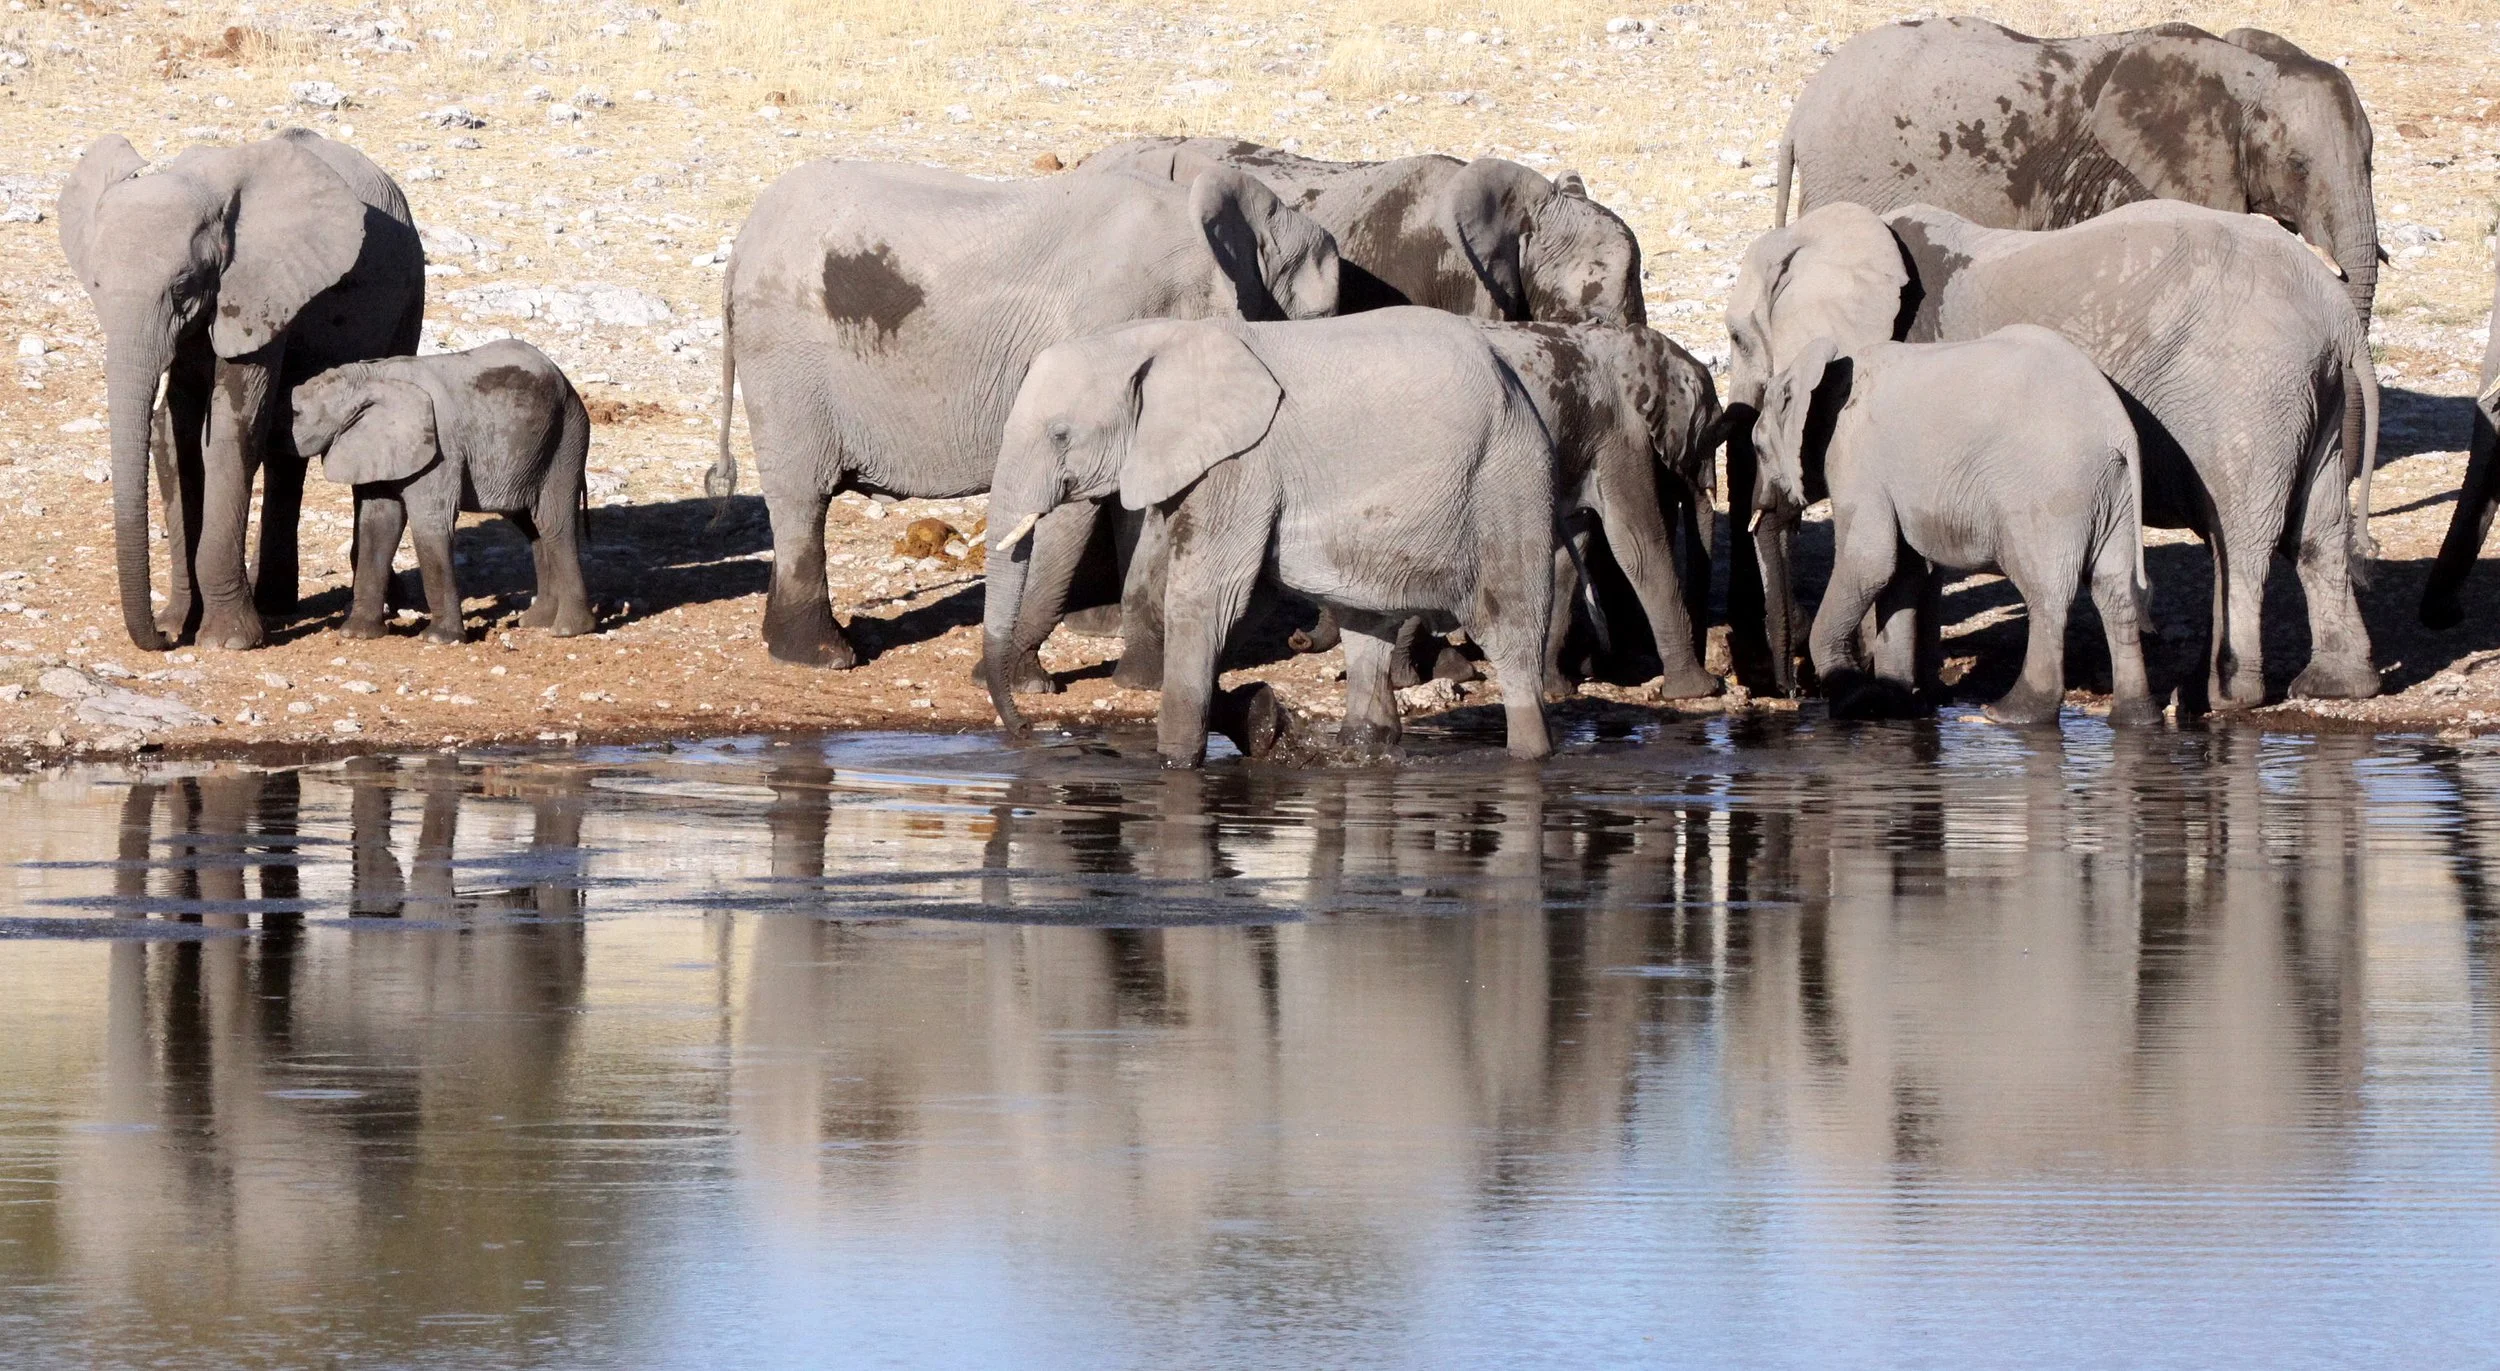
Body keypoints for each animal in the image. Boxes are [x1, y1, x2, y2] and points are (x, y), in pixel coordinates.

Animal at [57, 128, 426, 652]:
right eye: (95, 285)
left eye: (182, 288)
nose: (159, 638)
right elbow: (175, 441)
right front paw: (180, 622)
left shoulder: (257, 293)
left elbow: (229, 435)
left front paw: (226, 641)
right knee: (285, 447)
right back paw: (274, 602)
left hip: (411, 292)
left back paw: (383, 603)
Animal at [289, 340, 593, 644]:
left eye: (295, 414)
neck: (369, 376)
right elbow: (378, 525)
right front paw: (357, 634)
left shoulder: (440, 449)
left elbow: (431, 523)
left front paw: (439, 639)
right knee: (530, 524)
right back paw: (536, 621)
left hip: (565, 439)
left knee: (553, 522)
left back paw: (568, 630)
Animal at [706, 160, 1341, 672]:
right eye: (1317, 319)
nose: (1299, 642)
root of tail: (740, 247)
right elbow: (1083, 509)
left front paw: (1126, 656)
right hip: (786, 361)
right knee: (803, 497)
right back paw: (824, 658)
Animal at [981, 309, 1559, 766]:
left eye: (1060, 434)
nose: (1026, 730)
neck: (1159, 338)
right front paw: (1255, 717)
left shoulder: (1244, 464)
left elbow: (1207, 596)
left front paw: (1177, 764)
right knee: (1364, 623)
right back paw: (1364, 748)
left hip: (1507, 480)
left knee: (1510, 629)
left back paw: (1529, 756)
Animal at [1752, 327, 2155, 726]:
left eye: (1757, 449)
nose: (1791, 691)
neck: (1824, 374)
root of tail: (2119, 430)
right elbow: (1902, 573)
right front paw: (1896, 705)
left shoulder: (1855, 460)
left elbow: (1871, 563)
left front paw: (1855, 701)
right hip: (2113, 491)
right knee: (2114, 591)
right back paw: (2135, 718)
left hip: (2049, 493)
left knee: (2047, 591)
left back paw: (2010, 714)